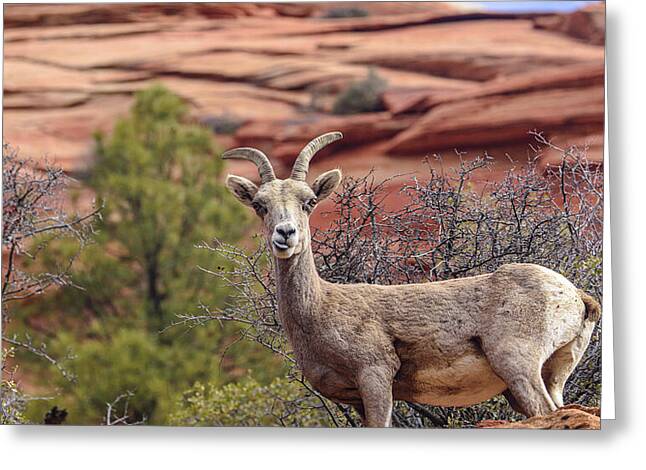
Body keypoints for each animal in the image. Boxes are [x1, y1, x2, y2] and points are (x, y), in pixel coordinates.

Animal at [222, 131, 601, 427]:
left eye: (310, 201)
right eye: (259, 205)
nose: (285, 234)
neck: (320, 308)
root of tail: (576, 296)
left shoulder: (375, 377)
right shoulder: (358, 399)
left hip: (519, 366)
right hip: (550, 376)